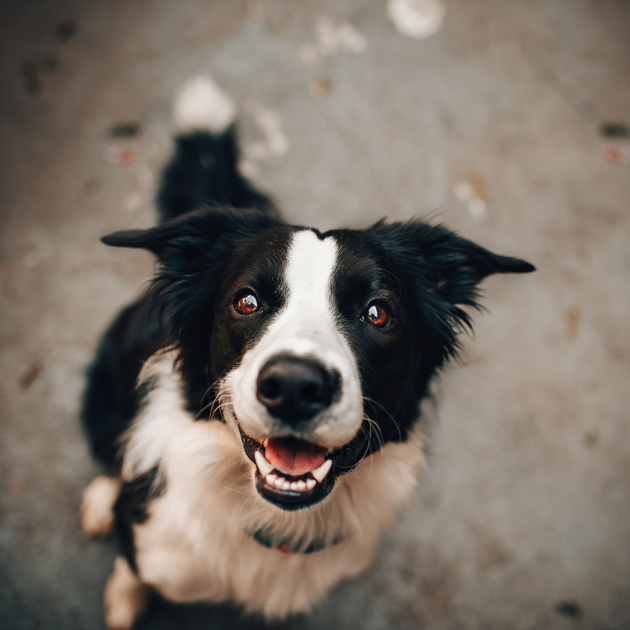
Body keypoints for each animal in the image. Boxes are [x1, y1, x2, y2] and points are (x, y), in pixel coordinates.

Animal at [78, 76, 532, 628]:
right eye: (247, 301)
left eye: (378, 313)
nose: (295, 386)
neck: (276, 521)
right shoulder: (152, 543)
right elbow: (131, 564)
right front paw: (125, 598)